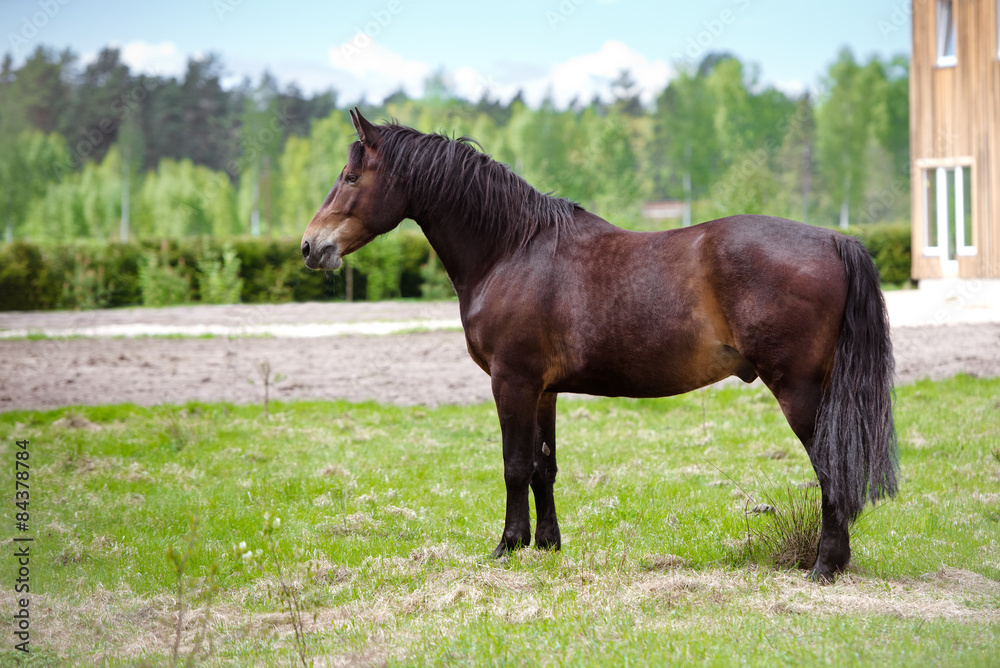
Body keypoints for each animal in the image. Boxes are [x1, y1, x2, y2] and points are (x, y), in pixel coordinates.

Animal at [301, 109, 898, 582]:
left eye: (350, 176)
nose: (310, 246)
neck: (511, 249)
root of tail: (834, 239)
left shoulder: (512, 382)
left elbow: (513, 464)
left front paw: (508, 546)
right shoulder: (542, 391)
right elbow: (542, 467)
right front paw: (547, 545)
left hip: (797, 389)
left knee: (829, 462)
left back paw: (825, 566)